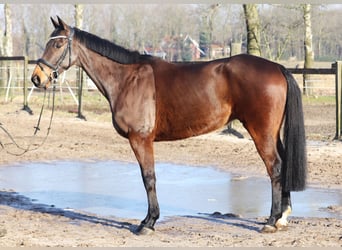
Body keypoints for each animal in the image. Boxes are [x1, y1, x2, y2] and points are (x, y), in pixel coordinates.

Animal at [30, 17, 306, 234]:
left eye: (57, 43)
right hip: (272, 133)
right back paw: (282, 217)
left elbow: (148, 178)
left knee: (275, 167)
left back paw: (271, 221)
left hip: (261, 133)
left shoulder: (140, 139)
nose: (37, 78)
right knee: (283, 164)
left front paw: (148, 222)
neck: (128, 78)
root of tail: (277, 68)